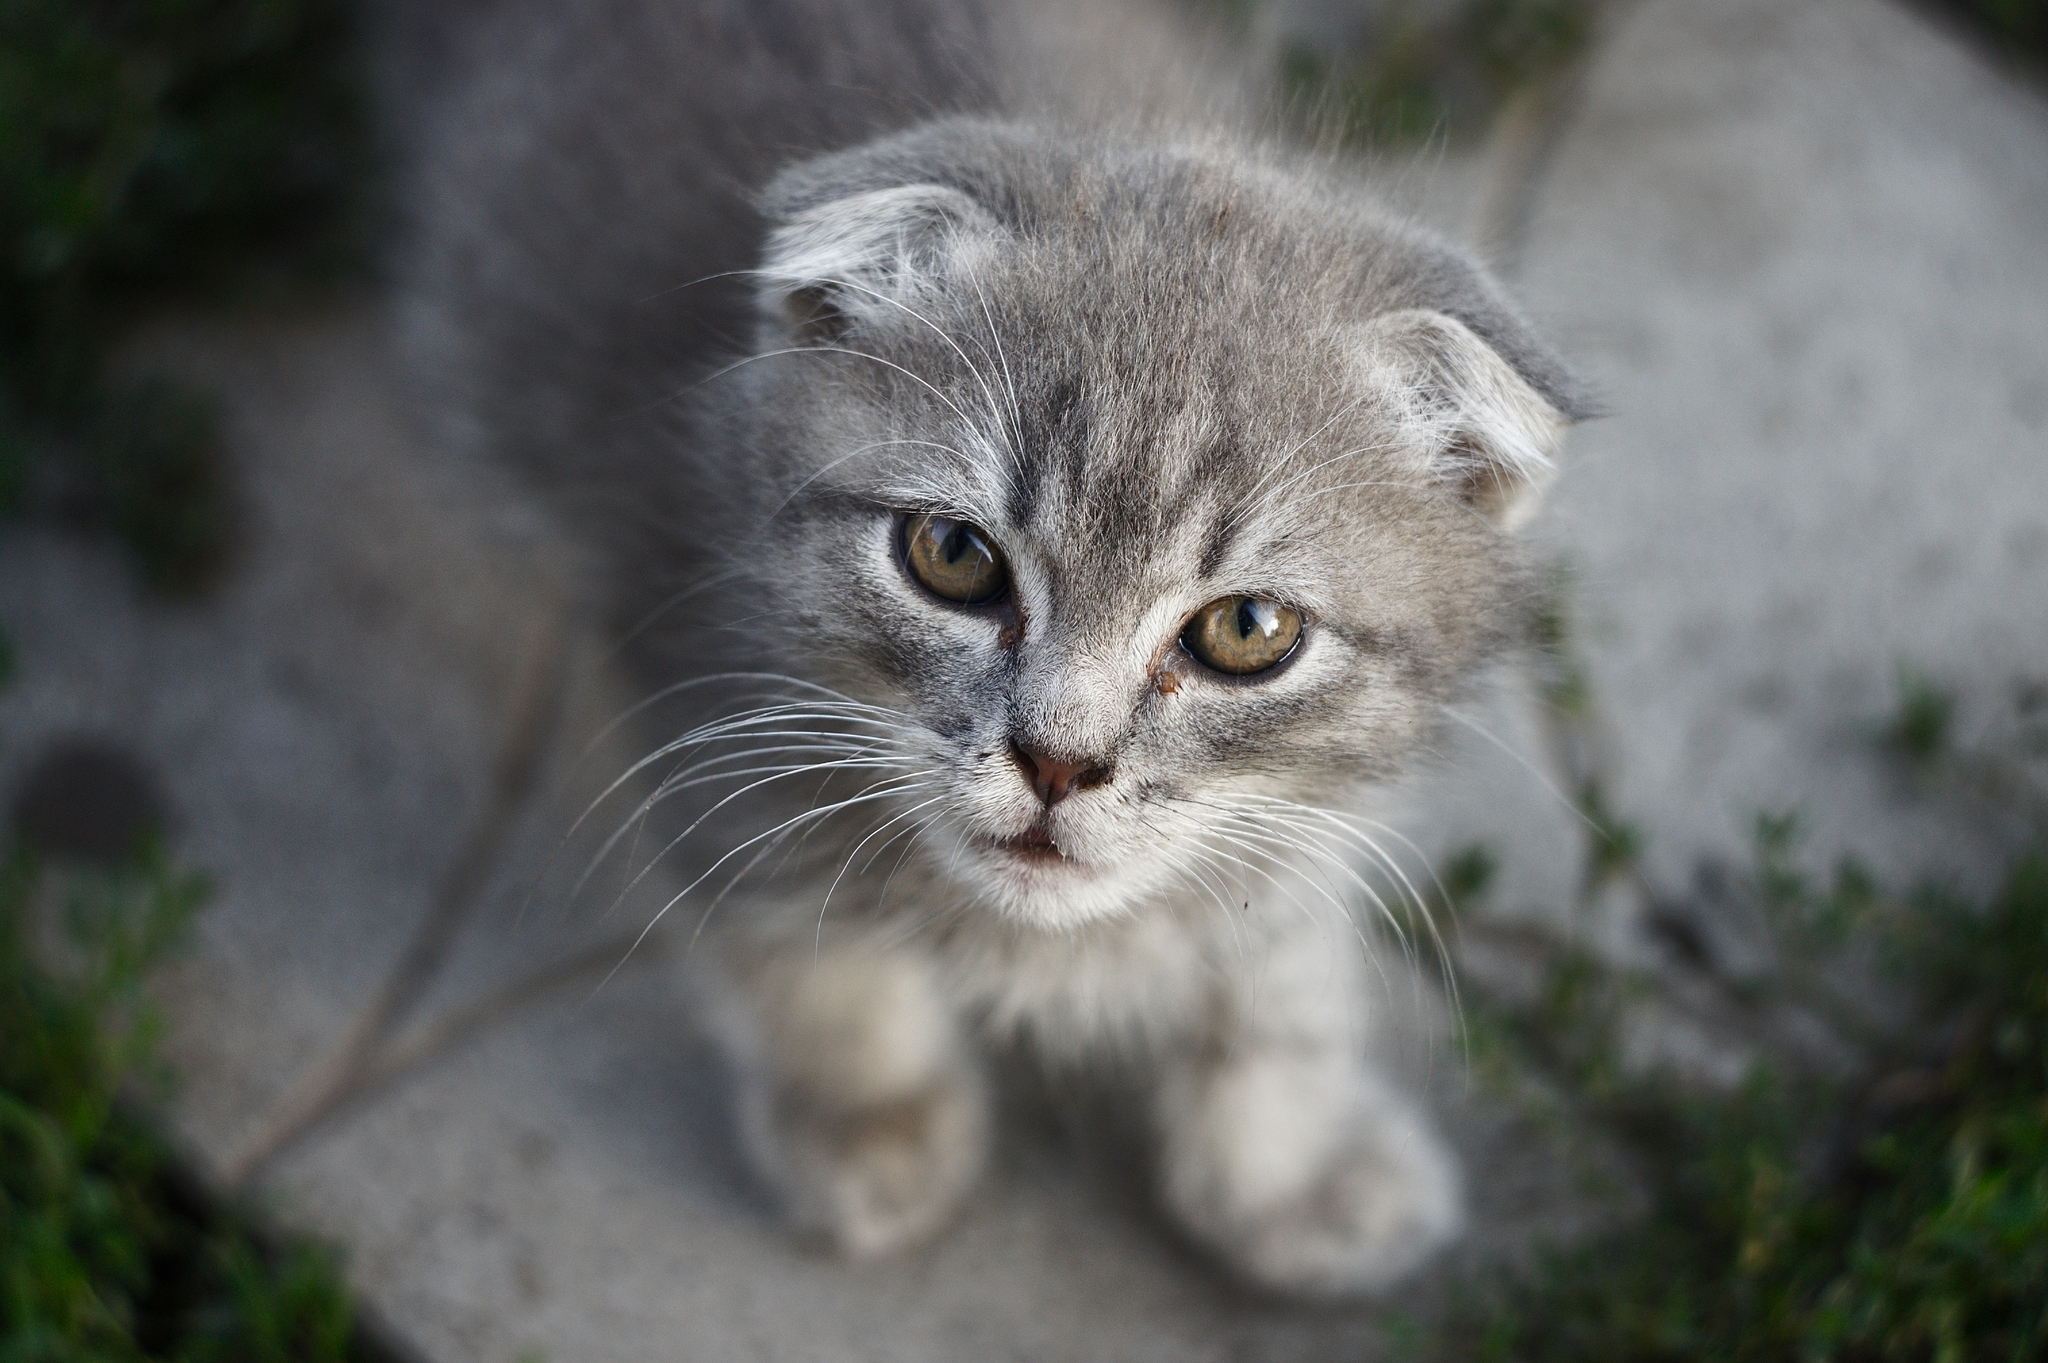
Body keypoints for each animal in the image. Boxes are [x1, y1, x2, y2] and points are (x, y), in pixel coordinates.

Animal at [399, 0, 1581, 1293]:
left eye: (1244, 630)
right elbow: (790, 930)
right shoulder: (699, 672)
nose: (1057, 761)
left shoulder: (1307, 814)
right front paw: (866, 1114)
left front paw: (1287, 1168)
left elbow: (1281, 962)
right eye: (954, 556)